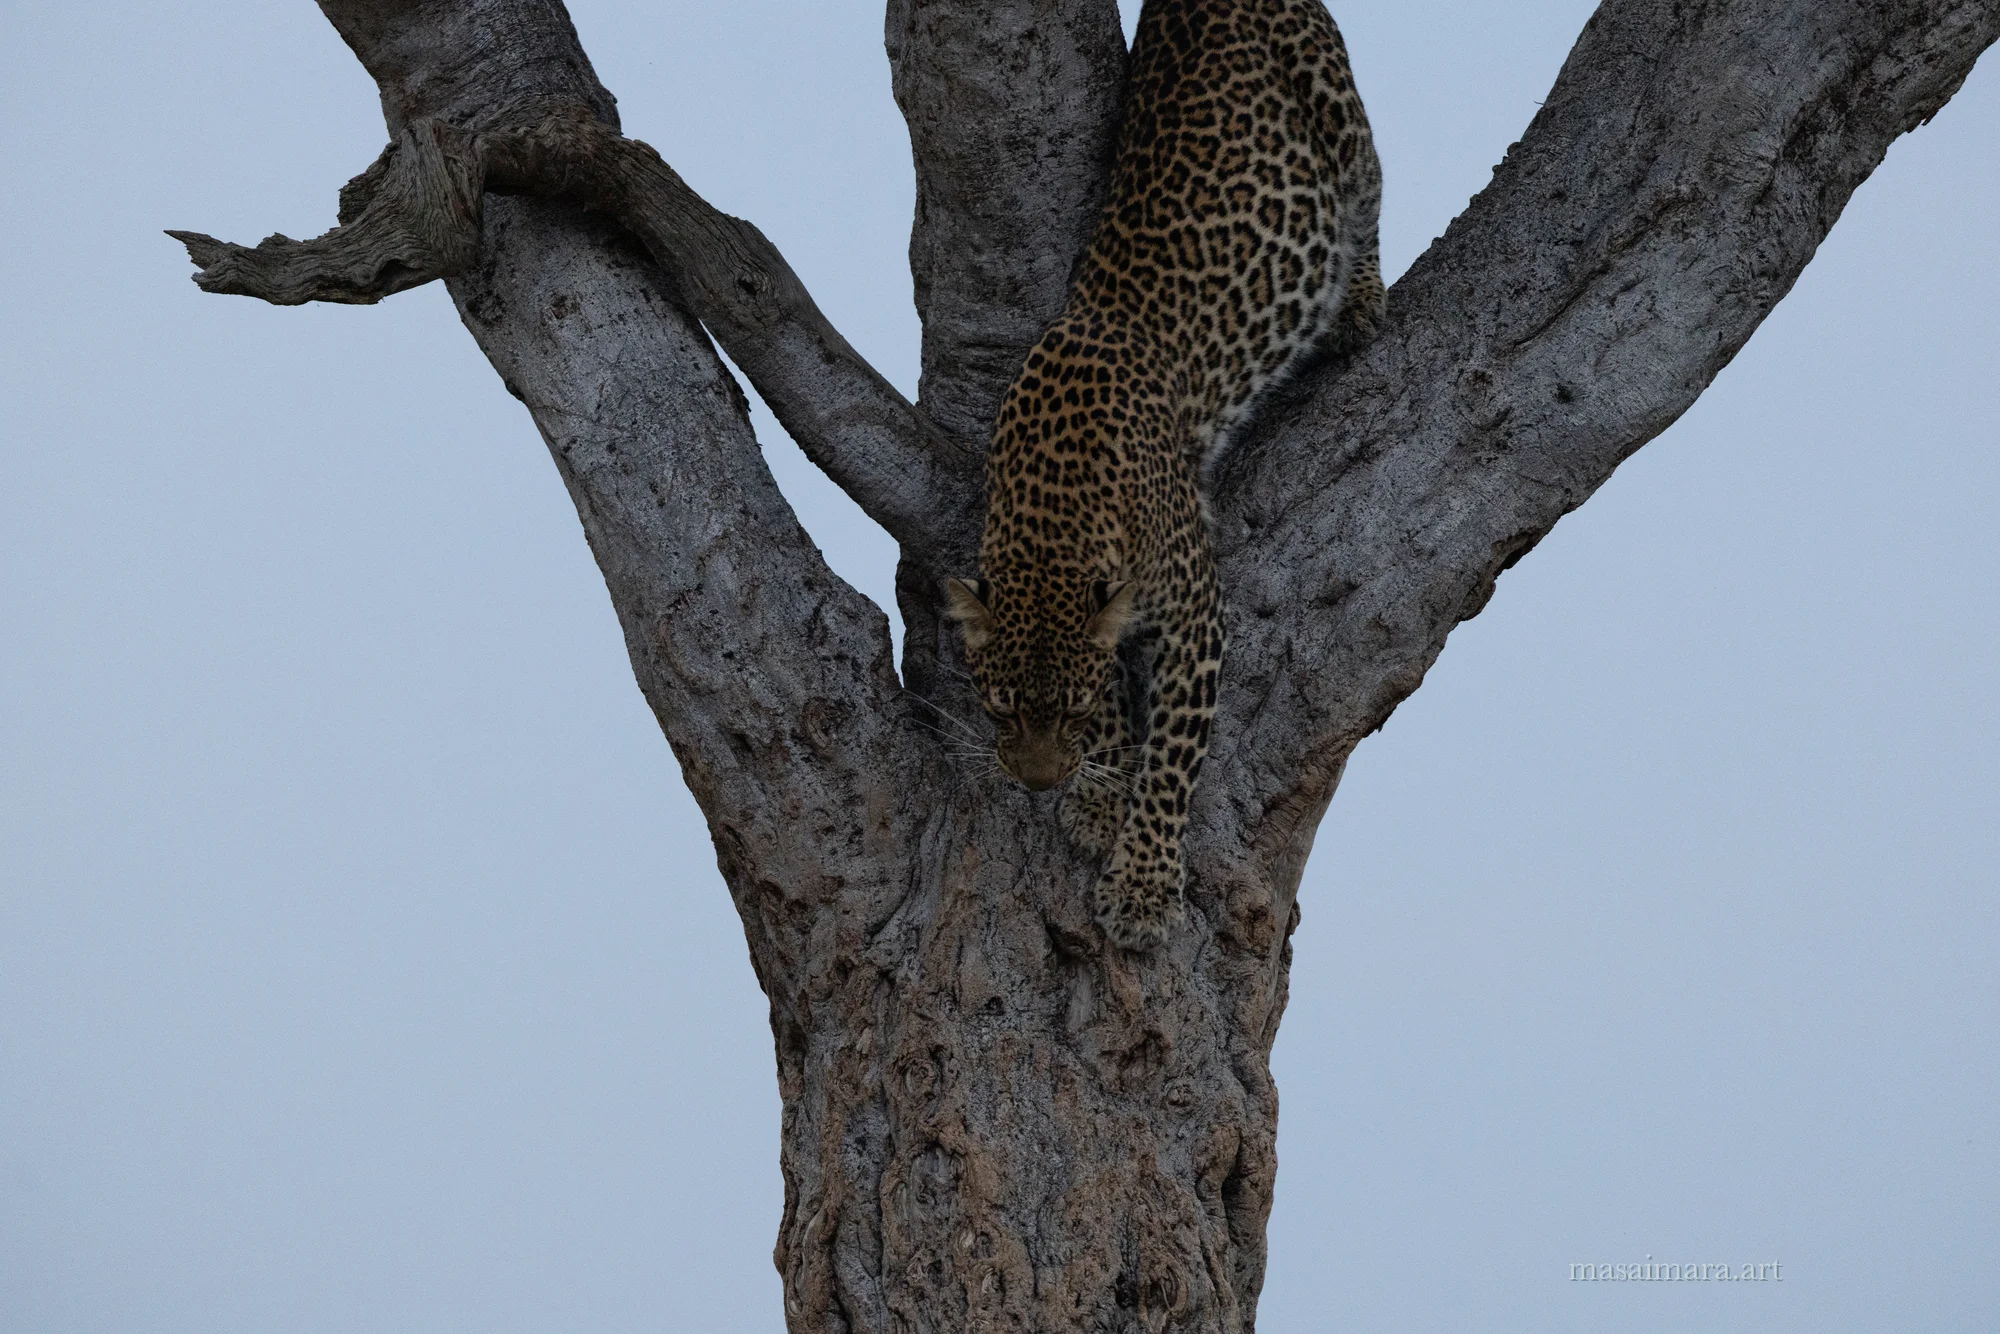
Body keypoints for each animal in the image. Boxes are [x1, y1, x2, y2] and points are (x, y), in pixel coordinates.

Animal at [944, 0, 1382, 951]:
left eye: (1065, 711)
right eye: (1003, 710)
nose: (1038, 784)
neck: (1053, 509)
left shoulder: (1196, 614)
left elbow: (1174, 761)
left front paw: (1142, 883)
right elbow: (1124, 705)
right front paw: (1101, 793)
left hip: (1337, 109)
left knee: (1369, 193)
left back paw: (1360, 303)